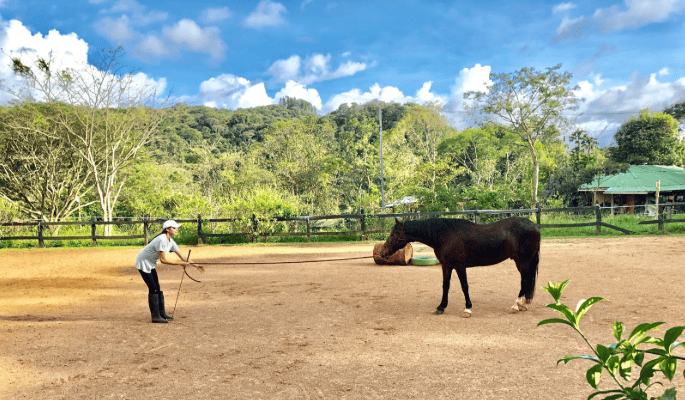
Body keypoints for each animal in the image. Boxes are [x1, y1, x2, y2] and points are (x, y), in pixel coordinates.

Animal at [382, 217, 536, 318]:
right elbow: (445, 286)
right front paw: (441, 307)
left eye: (393, 234)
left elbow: (464, 286)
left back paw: (516, 305)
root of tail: (533, 225)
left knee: (525, 281)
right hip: (521, 261)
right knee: (526, 280)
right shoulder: (446, 266)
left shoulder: (460, 266)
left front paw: (467, 309)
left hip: (524, 261)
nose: (383, 252)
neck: (445, 235)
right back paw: (522, 304)